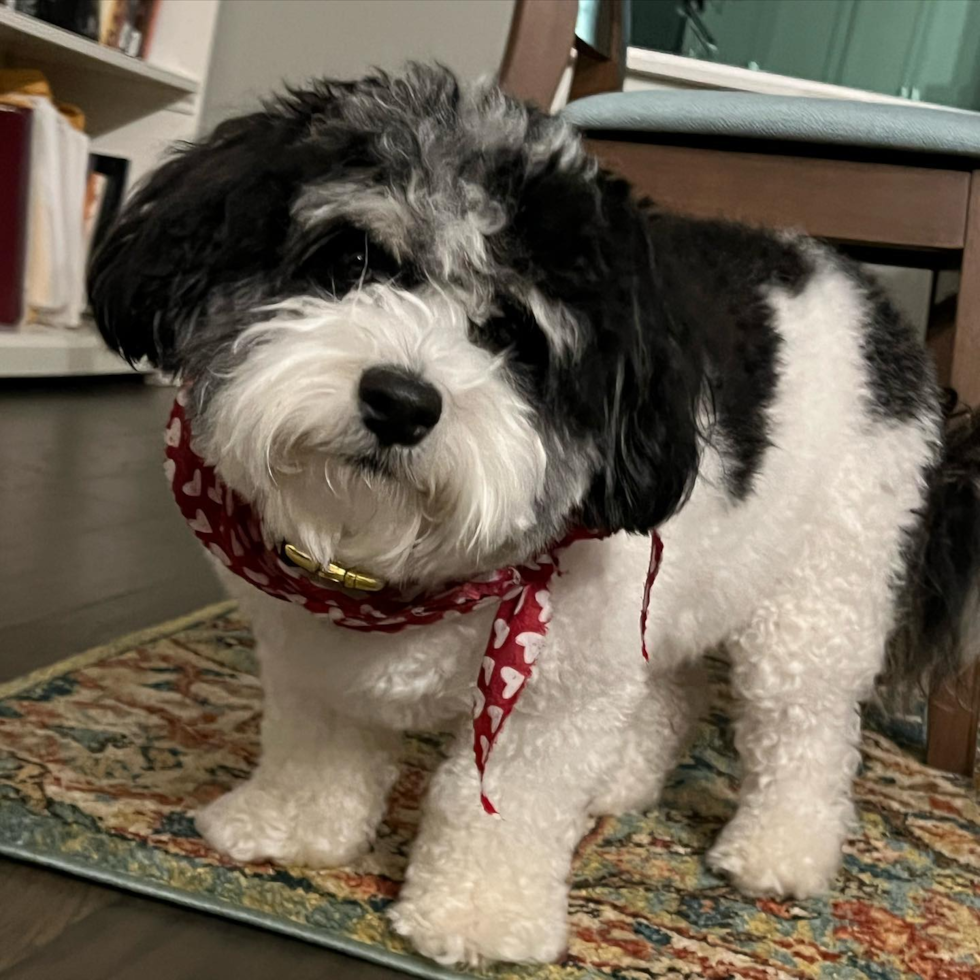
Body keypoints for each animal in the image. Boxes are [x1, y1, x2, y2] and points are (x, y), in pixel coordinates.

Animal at [86, 67, 980, 964]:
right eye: (351, 259)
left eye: (514, 333)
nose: (401, 401)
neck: (409, 575)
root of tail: (866, 296)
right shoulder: (312, 660)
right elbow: (320, 746)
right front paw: (292, 827)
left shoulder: (551, 695)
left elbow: (497, 802)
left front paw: (478, 916)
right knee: (673, 685)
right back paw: (621, 778)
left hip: (821, 594)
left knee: (806, 729)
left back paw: (780, 851)